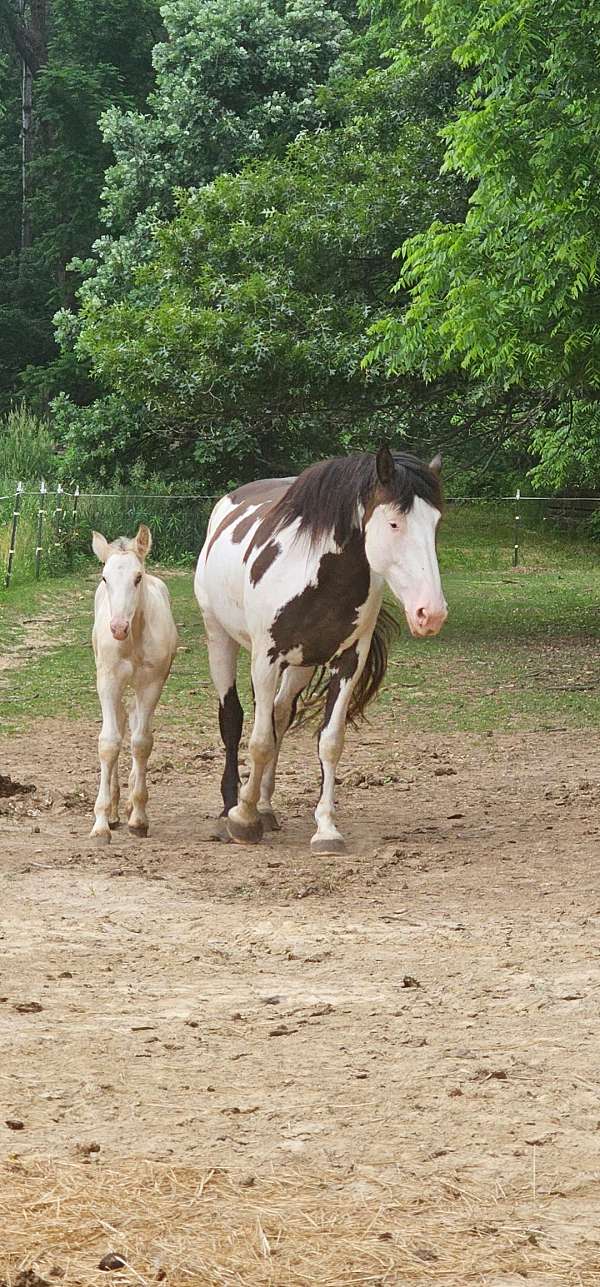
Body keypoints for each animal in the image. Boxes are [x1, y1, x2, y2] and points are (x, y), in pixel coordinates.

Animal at [90, 524, 178, 843]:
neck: (133, 639)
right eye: (105, 578)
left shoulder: (151, 684)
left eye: (137, 578)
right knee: (119, 722)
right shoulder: (108, 681)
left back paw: (126, 807)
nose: (117, 628)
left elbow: (141, 743)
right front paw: (101, 824)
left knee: (134, 721)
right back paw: (115, 810)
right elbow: (109, 743)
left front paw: (138, 818)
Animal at [194, 447, 447, 855]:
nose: (431, 613)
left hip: (300, 665)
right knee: (233, 718)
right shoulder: (265, 659)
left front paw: (326, 828)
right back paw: (232, 805)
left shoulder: (348, 662)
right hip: (220, 638)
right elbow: (258, 741)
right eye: (394, 524)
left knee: (279, 713)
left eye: (435, 524)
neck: (317, 575)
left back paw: (265, 806)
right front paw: (243, 818)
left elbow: (329, 742)